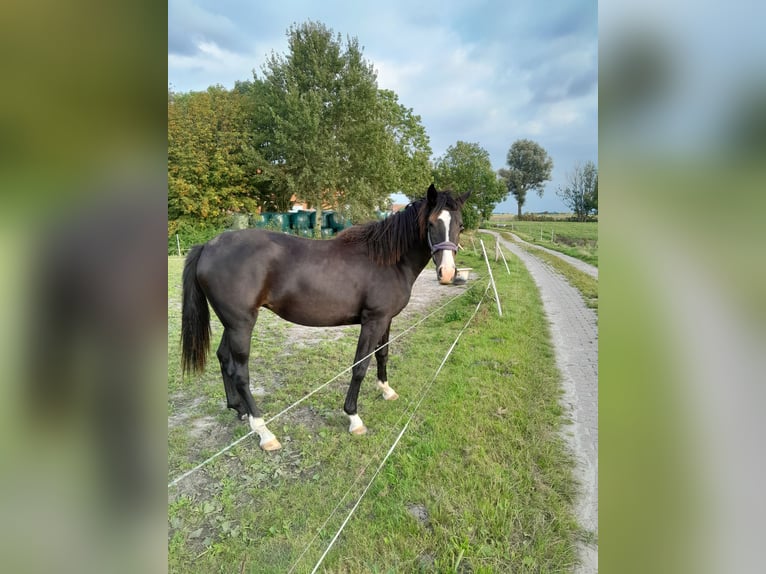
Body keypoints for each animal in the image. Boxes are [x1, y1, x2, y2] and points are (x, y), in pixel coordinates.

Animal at [182, 184, 468, 450]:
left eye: (460, 225)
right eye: (431, 223)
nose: (447, 273)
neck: (387, 261)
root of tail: (207, 246)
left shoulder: (386, 319)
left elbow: (382, 354)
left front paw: (387, 391)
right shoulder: (373, 320)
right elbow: (360, 366)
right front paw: (354, 418)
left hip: (231, 324)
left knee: (224, 359)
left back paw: (239, 410)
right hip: (241, 324)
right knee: (240, 372)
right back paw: (264, 432)